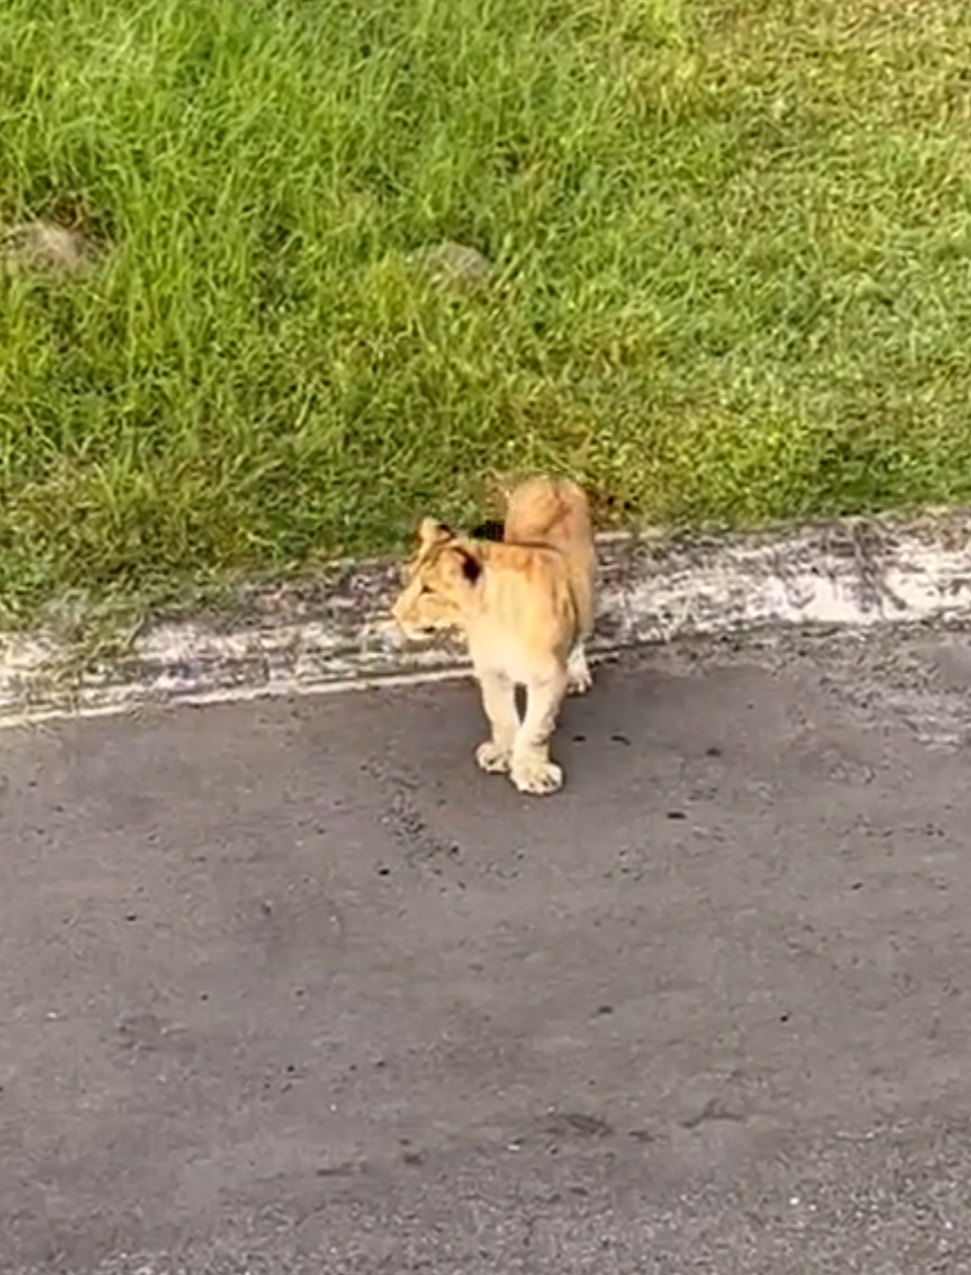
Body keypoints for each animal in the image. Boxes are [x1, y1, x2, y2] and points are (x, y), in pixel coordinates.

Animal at [390, 476, 596, 796]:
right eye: (413, 581)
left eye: (428, 590)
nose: (395, 613)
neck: (491, 619)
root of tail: (551, 478)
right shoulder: (490, 670)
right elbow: (500, 715)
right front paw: (501, 755)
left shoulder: (548, 677)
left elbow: (534, 729)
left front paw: (532, 773)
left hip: (586, 593)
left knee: (579, 640)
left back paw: (577, 674)